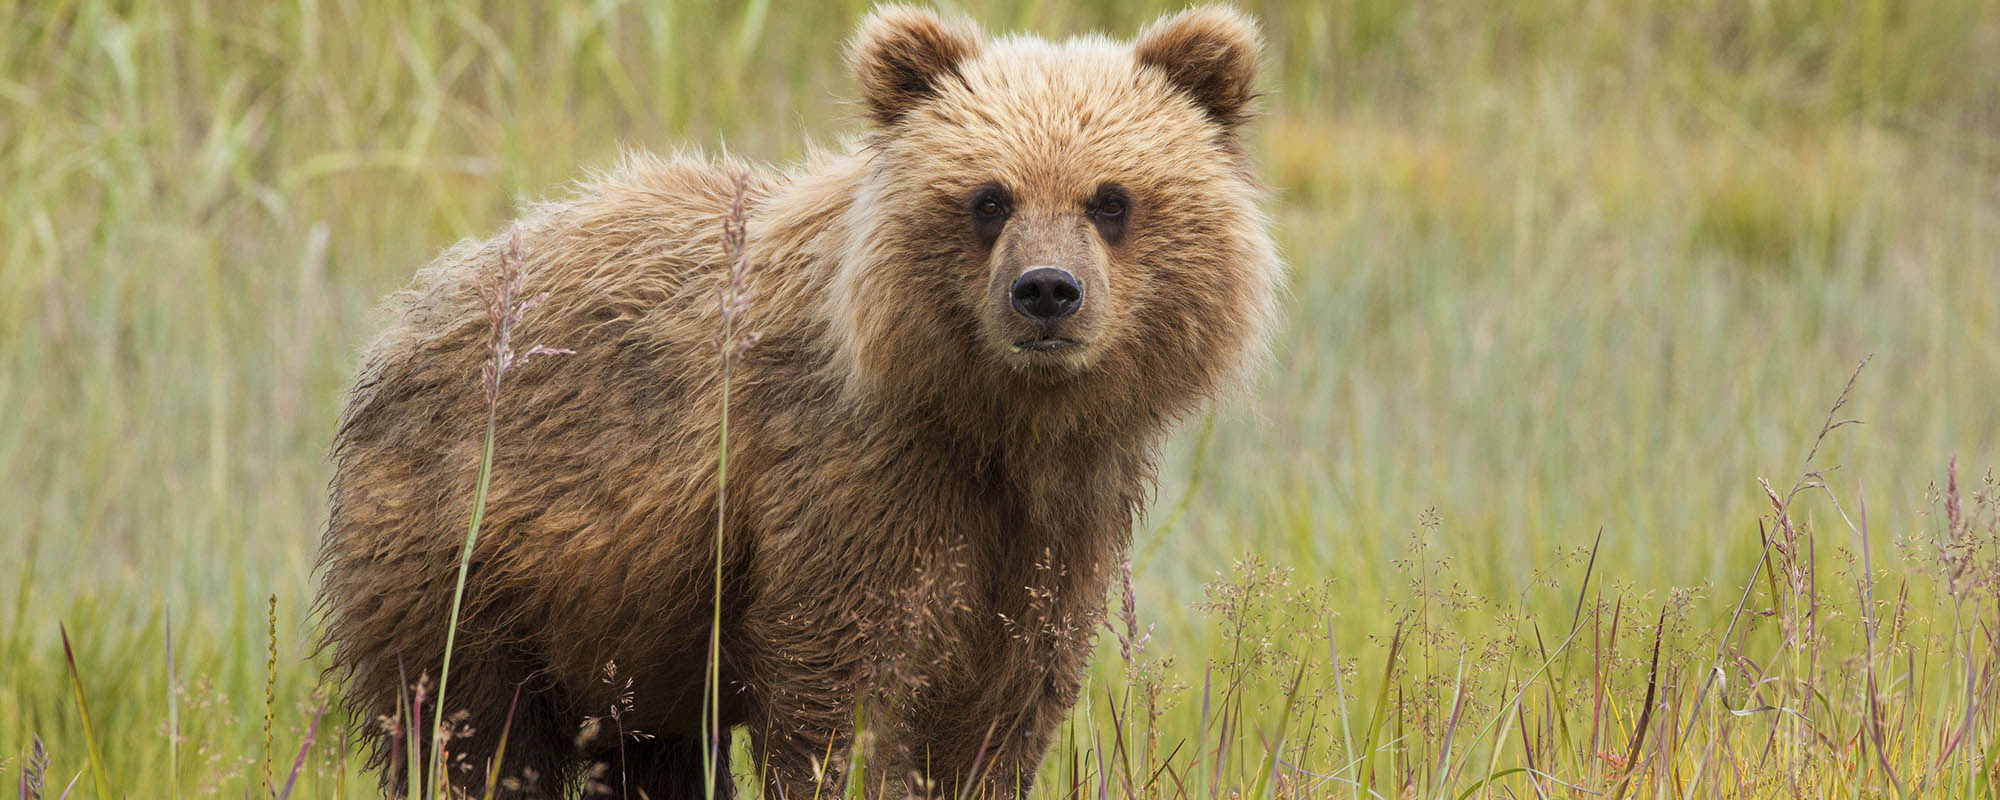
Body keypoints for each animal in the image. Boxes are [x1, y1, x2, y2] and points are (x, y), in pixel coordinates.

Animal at [316, 5, 1280, 798]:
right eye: (989, 197)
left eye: (1111, 199)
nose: (1046, 291)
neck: (992, 420)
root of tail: (413, 309)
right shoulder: (851, 486)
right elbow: (843, 694)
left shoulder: (1055, 526)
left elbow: (1003, 708)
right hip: (471, 555)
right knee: (465, 729)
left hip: (623, 633)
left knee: (642, 756)